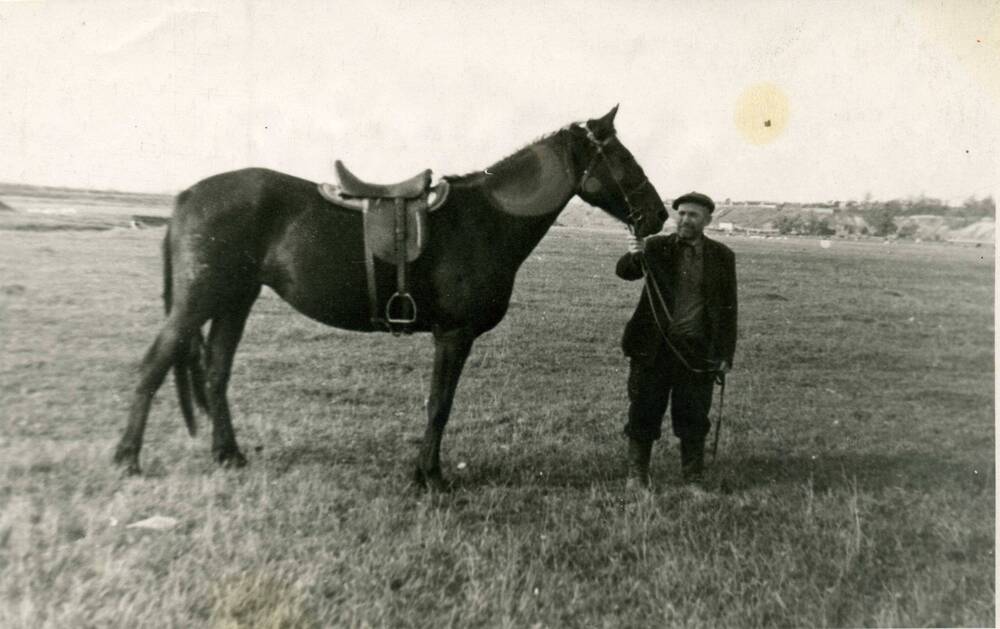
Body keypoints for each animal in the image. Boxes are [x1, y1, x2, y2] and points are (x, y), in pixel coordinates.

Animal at [113, 105, 668, 488]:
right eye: (621, 157)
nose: (659, 215)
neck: (485, 220)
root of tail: (187, 196)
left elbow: (438, 404)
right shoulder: (453, 335)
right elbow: (439, 404)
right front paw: (430, 477)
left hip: (235, 300)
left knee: (216, 372)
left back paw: (228, 454)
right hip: (198, 302)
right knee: (154, 366)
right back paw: (127, 459)